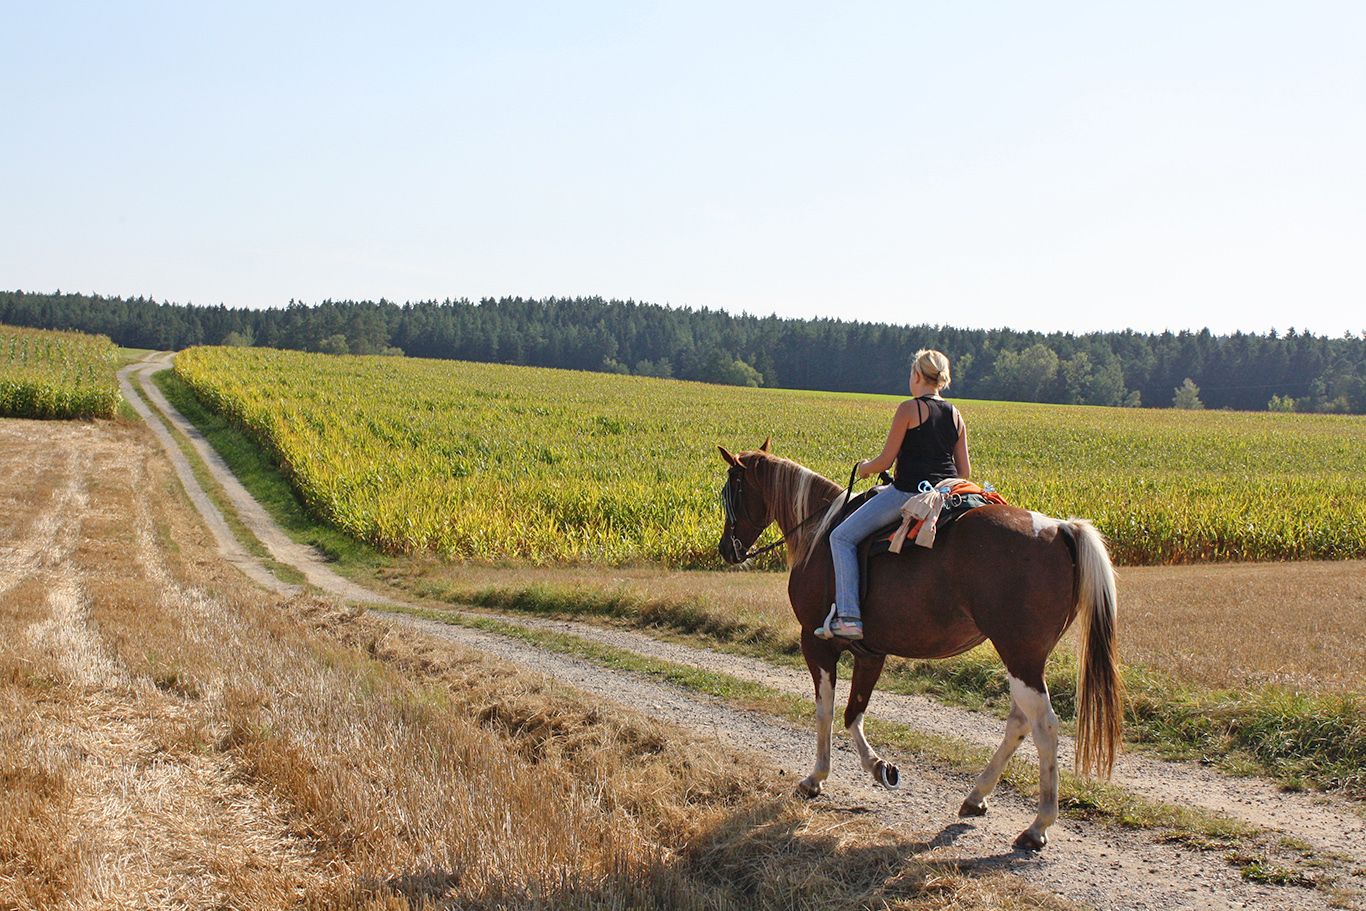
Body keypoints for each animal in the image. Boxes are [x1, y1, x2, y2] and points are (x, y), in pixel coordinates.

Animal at [715, 437, 1120, 852]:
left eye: (729, 491)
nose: (726, 549)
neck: (819, 532)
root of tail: (1059, 529)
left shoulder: (817, 645)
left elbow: (826, 712)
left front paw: (817, 777)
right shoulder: (871, 653)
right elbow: (853, 713)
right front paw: (880, 768)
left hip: (1020, 656)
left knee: (1044, 727)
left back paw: (1038, 825)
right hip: (1026, 658)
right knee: (1019, 722)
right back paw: (977, 796)